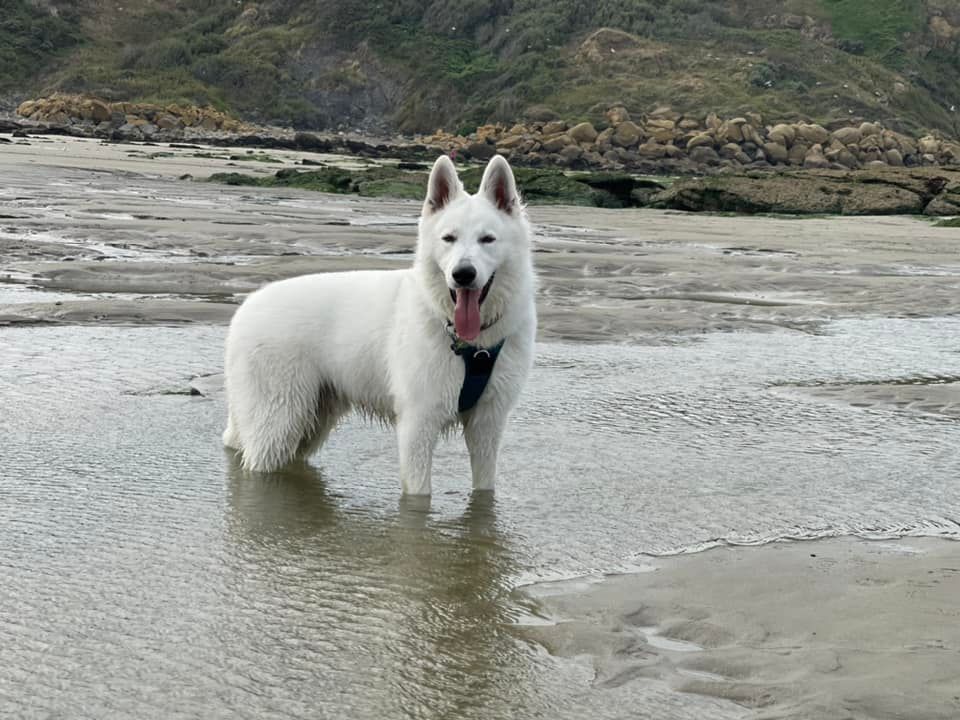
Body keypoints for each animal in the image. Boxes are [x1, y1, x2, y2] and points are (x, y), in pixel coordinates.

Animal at [225, 155, 540, 496]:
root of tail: (246, 307)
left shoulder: (487, 425)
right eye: (449, 238)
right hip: (279, 421)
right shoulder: (418, 423)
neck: (469, 345)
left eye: (487, 239)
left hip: (312, 419)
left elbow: (484, 488)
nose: (463, 274)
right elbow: (419, 493)